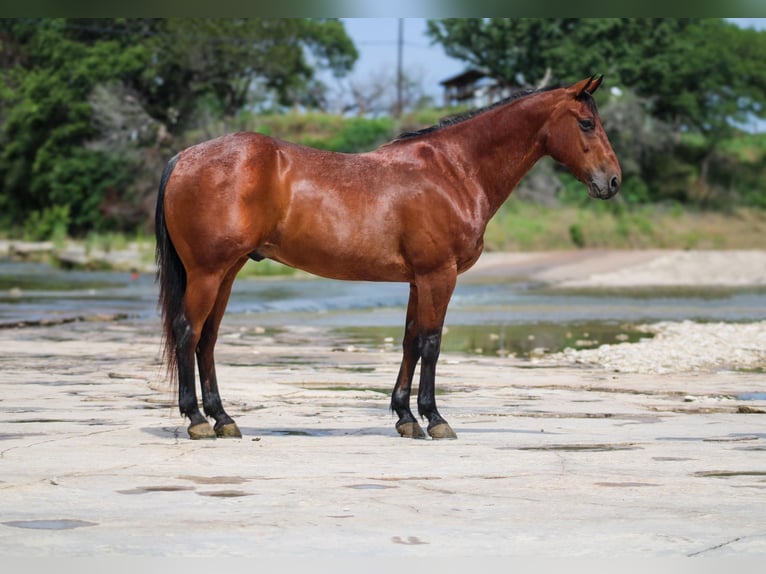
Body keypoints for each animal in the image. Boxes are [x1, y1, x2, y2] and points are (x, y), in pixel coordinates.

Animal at [156, 75, 624, 440]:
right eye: (586, 123)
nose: (613, 181)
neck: (454, 170)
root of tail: (183, 157)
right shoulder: (439, 275)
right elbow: (432, 342)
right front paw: (435, 419)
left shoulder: (419, 279)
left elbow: (411, 341)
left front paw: (405, 417)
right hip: (208, 272)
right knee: (187, 331)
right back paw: (197, 419)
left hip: (227, 272)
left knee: (208, 338)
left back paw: (223, 418)